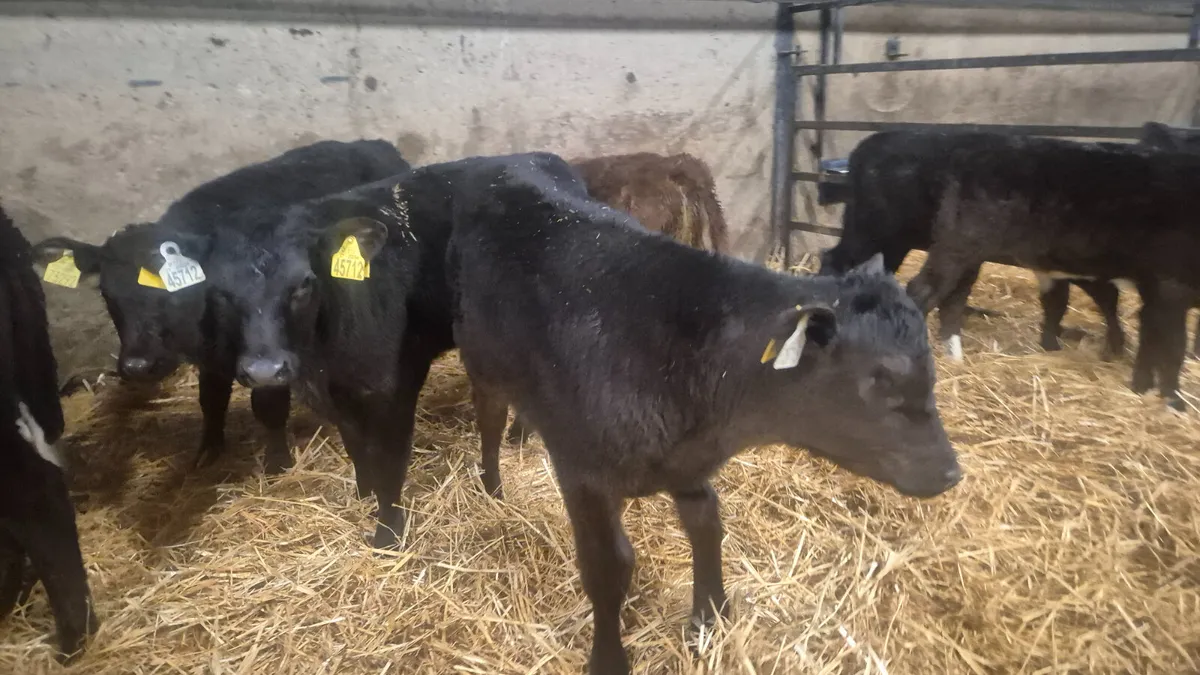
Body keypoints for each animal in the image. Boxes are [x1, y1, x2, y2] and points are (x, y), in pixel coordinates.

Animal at [30, 140, 409, 474]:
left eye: (172, 292)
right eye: (106, 294)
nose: (138, 366)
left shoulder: (269, 353)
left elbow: (269, 407)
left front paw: (278, 464)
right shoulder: (212, 359)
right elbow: (210, 400)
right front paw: (207, 451)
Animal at [204, 153, 587, 549]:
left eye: (304, 284)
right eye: (220, 291)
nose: (265, 370)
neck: (322, 355)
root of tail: (538, 157)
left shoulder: (394, 387)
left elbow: (389, 460)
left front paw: (387, 533)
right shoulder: (340, 395)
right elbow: (356, 448)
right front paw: (363, 496)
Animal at [900, 134, 1200, 410]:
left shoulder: (1155, 290)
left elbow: (1151, 340)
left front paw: (1143, 387)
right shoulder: (1171, 286)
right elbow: (1173, 347)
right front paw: (1174, 401)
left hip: (969, 253)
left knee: (952, 300)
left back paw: (955, 358)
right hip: (958, 245)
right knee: (922, 292)